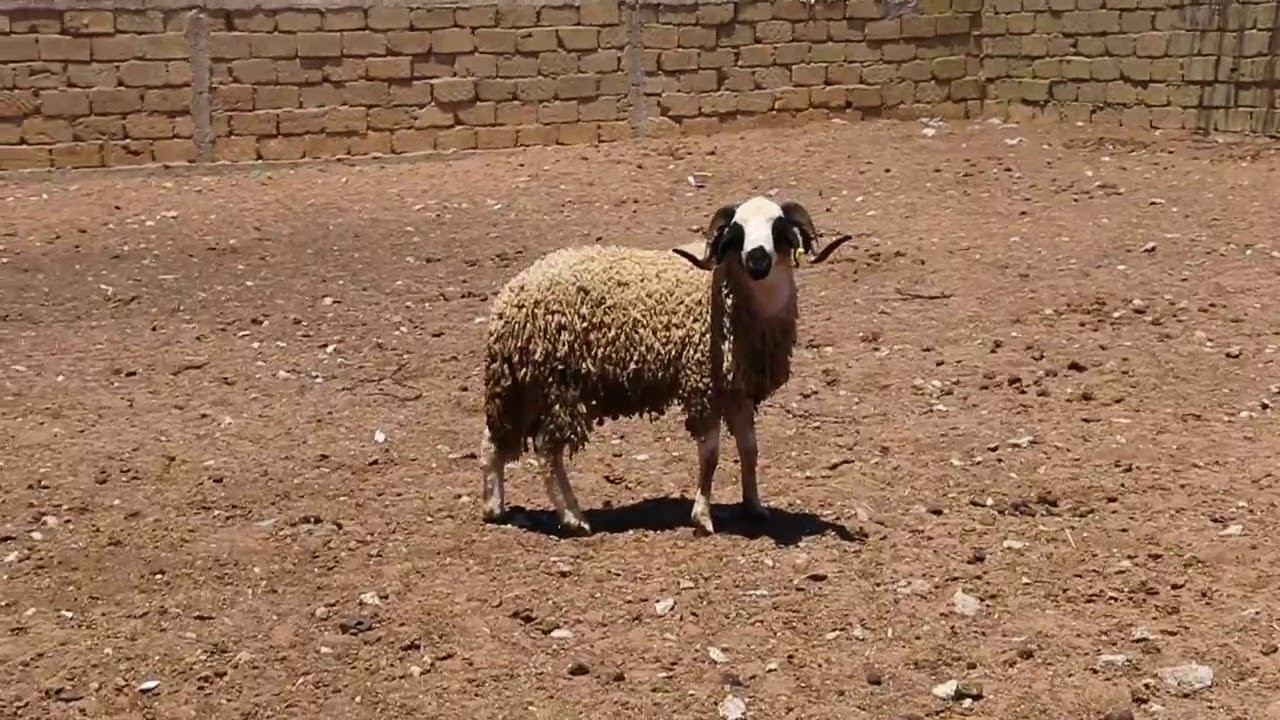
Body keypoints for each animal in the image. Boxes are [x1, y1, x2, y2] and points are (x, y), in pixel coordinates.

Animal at [479, 195, 852, 536]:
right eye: (737, 232)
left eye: (779, 229)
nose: (756, 259)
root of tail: (512, 296)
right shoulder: (702, 385)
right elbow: (711, 455)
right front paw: (702, 517)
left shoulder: (737, 389)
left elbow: (750, 449)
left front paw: (754, 507)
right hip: (560, 386)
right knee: (546, 450)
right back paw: (573, 517)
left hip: (523, 386)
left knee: (493, 440)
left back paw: (494, 507)